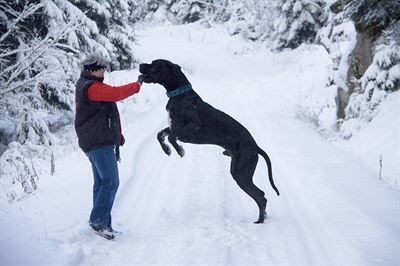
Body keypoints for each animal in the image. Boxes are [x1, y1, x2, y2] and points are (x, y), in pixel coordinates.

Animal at [139, 59, 280, 223]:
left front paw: (180, 150)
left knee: (260, 196)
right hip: (239, 170)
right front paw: (167, 150)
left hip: (241, 173)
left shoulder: (192, 126)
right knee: (260, 195)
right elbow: (160, 135)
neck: (179, 95)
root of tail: (256, 146)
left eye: (155, 64)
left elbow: (171, 137)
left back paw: (259, 221)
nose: (140, 65)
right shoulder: (173, 127)